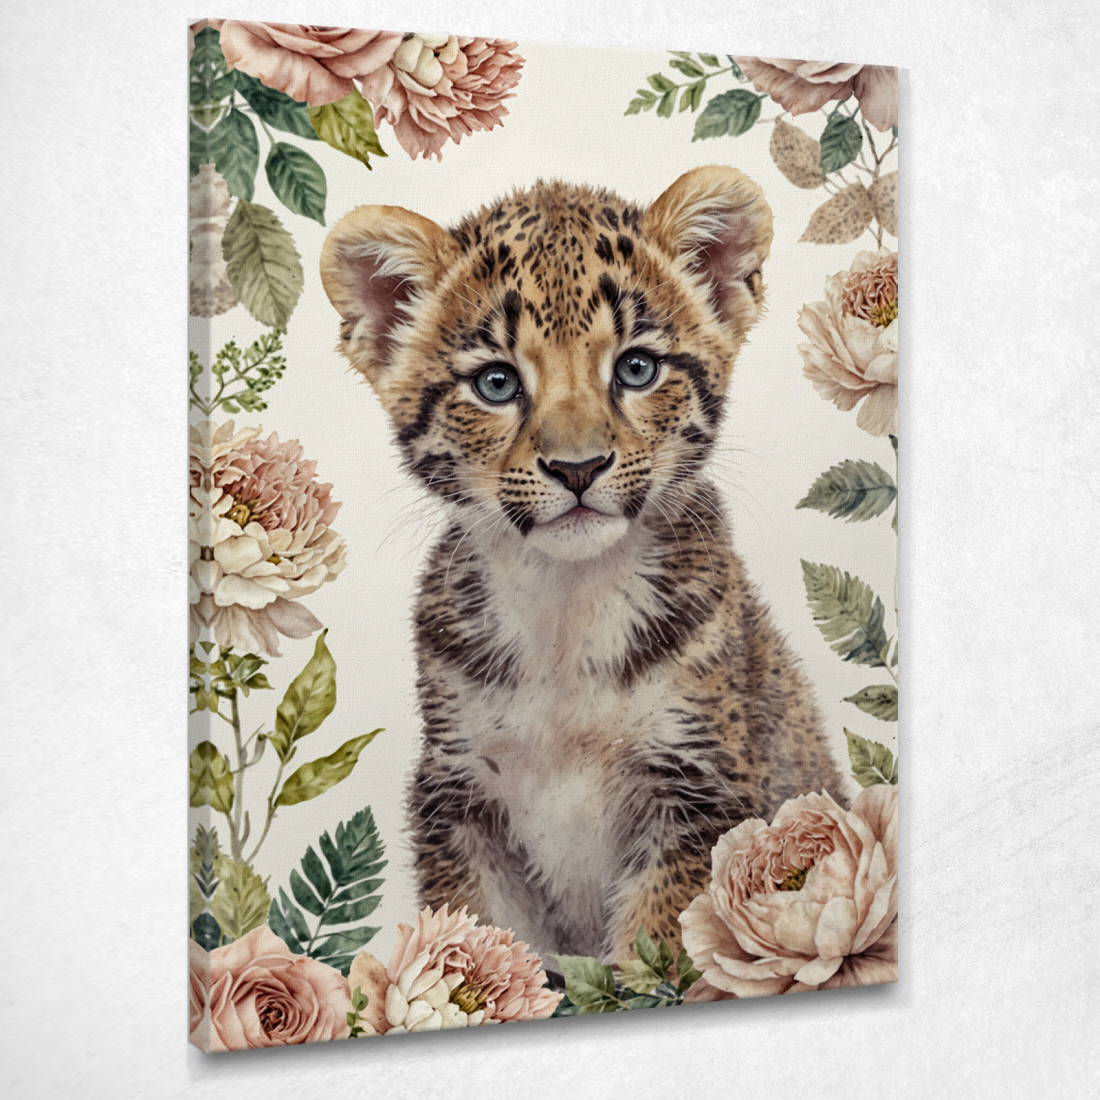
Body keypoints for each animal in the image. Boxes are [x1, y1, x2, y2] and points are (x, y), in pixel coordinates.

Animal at [320, 166, 842, 966]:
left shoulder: (697, 792)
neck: (563, 605)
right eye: (496, 383)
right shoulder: (458, 797)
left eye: (636, 367)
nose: (577, 468)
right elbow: (481, 942)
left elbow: (657, 950)